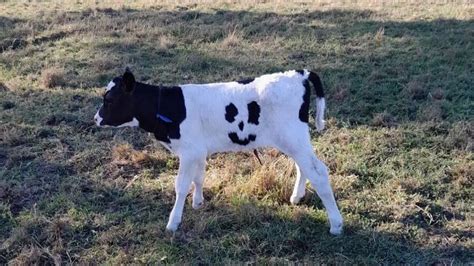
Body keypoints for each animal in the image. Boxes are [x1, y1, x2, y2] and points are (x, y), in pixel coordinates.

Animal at [94, 68, 342, 235]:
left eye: (110, 99)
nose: (96, 119)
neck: (168, 107)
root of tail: (299, 73)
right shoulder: (198, 150)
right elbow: (198, 177)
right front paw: (198, 202)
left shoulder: (188, 151)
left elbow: (181, 185)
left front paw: (173, 223)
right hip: (294, 140)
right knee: (304, 167)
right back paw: (297, 197)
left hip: (293, 137)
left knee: (319, 172)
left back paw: (336, 224)